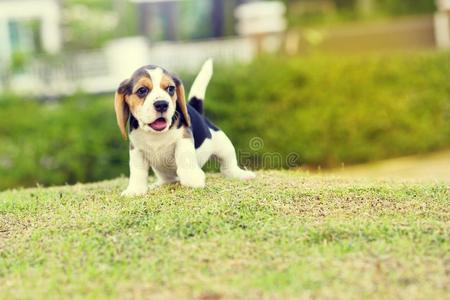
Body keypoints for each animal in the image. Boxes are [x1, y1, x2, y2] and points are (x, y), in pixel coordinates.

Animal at [114, 59, 255, 196]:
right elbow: (137, 171)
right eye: (142, 90)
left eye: (171, 89)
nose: (162, 104)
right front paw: (135, 190)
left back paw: (241, 174)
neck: (156, 134)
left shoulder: (183, 138)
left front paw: (192, 179)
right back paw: (158, 184)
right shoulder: (136, 149)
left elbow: (183, 157)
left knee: (228, 166)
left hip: (224, 146)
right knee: (167, 179)